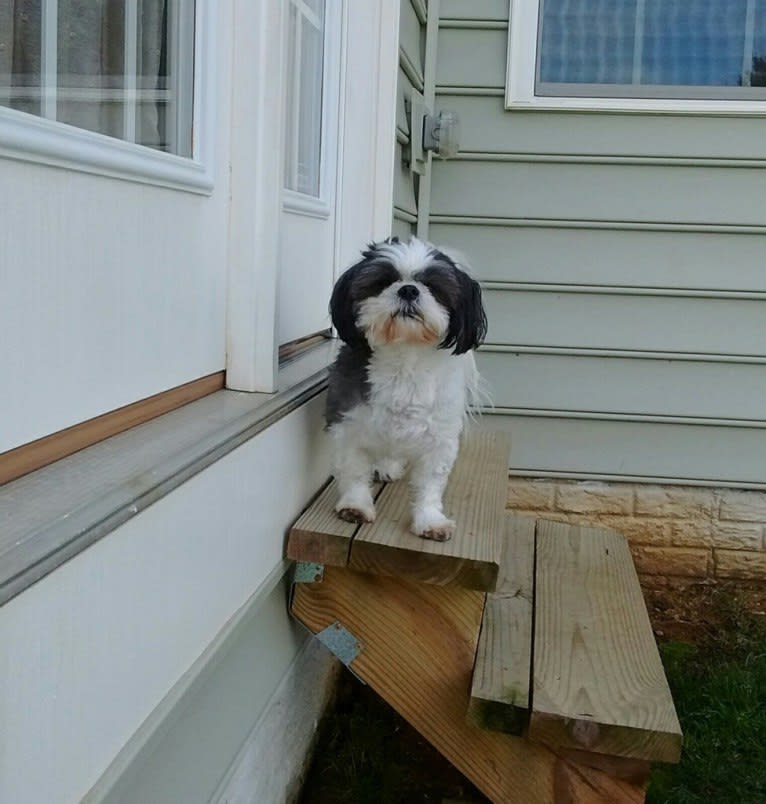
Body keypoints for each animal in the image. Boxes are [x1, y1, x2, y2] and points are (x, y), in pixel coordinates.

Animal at [324, 237, 486, 540]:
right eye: (383, 281)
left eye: (433, 286)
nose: (409, 289)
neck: (404, 362)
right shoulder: (348, 422)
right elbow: (353, 470)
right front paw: (355, 506)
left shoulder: (440, 439)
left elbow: (431, 484)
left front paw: (430, 520)